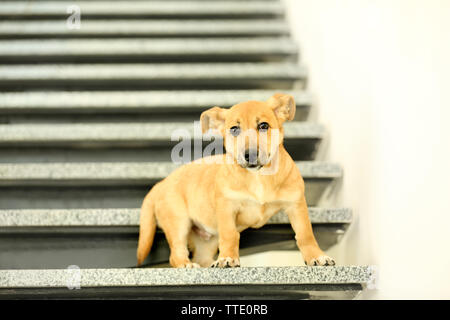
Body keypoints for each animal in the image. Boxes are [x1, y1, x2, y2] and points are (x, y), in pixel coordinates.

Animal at [137, 92, 334, 268]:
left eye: (263, 126)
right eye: (234, 129)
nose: (250, 154)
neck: (259, 177)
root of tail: (160, 184)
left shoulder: (296, 205)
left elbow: (305, 234)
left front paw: (317, 257)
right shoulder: (227, 207)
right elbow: (230, 235)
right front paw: (228, 259)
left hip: (206, 239)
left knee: (202, 257)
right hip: (178, 222)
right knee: (176, 254)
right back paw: (187, 265)